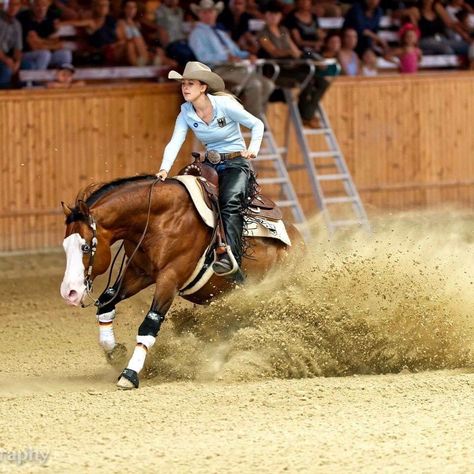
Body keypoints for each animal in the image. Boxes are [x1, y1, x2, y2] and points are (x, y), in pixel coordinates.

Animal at [60, 170, 300, 388]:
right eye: (64, 246)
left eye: (85, 247)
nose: (69, 293)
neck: (159, 219)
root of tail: (298, 240)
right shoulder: (139, 273)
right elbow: (106, 303)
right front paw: (115, 352)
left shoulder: (170, 278)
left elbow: (149, 325)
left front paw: (130, 373)